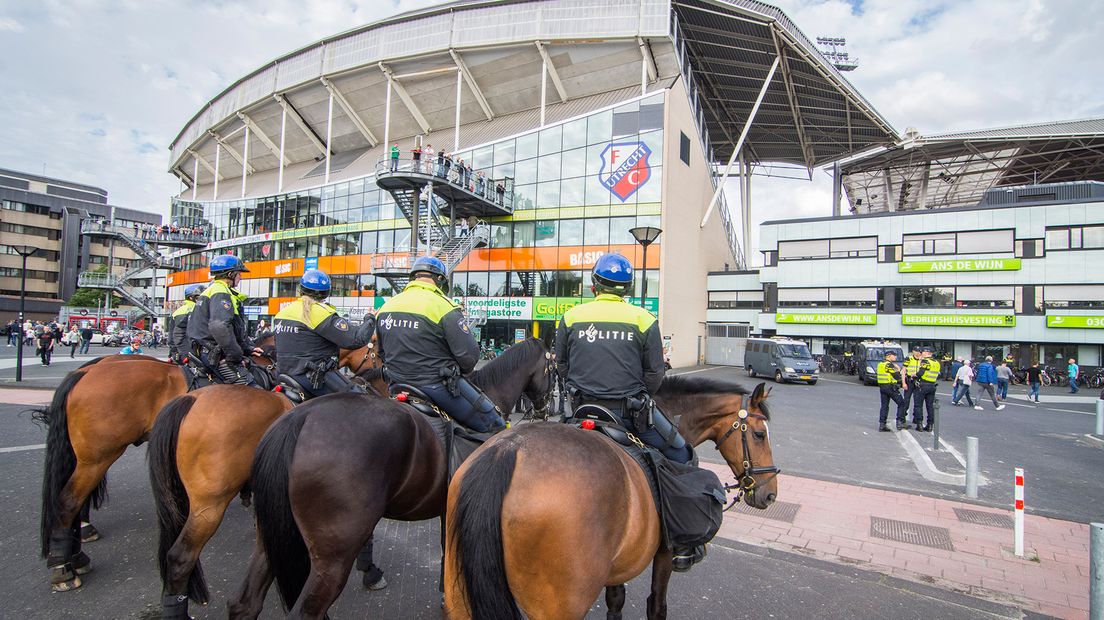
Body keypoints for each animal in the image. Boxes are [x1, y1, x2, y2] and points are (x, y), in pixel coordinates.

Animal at [229, 337, 556, 617]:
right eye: (551, 369)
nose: (544, 409)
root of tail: (300, 418)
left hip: (273, 536)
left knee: (245, 602)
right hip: (332, 555)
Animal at [443, 375, 781, 613]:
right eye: (759, 434)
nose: (769, 494)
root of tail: (508, 452)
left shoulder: (619, 563)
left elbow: (616, 601)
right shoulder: (663, 554)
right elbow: (656, 603)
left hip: (461, 592)